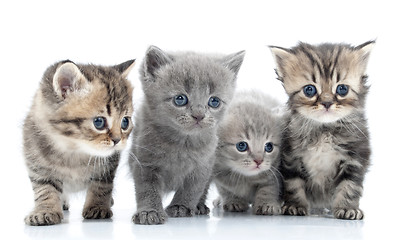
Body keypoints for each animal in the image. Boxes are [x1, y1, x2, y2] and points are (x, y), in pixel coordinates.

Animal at [23, 58, 135, 225]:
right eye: (99, 122)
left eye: (125, 122)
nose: (117, 140)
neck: (74, 149)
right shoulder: (36, 161)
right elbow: (45, 189)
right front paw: (45, 210)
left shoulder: (108, 166)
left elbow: (101, 186)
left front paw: (97, 207)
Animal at [130, 45, 244, 225]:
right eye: (180, 99)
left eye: (214, 101)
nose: (199, 115)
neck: (182, 144)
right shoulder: (145, 162)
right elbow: (147, 189)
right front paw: (148, 211)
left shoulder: (203, 165)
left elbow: (193, 188)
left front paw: (181, 206)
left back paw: (199, 206)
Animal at [270, 40, 374, 219]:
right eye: (309, 90)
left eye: (342, 89)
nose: (326, 103)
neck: (324, 131)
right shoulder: (291, 158)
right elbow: (294, 184)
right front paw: (295, 206)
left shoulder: (355, 158)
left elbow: (350, 186)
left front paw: (347, 208)